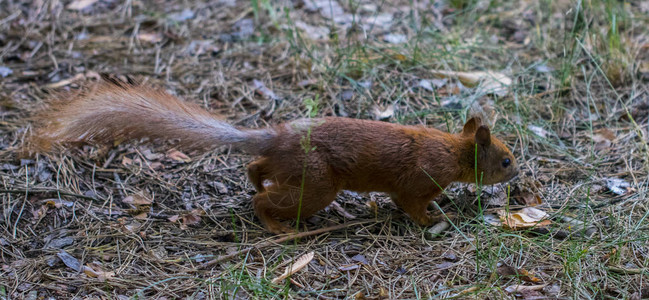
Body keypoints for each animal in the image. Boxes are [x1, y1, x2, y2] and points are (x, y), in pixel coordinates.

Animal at [33, 75, 520, 234]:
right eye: (506, 159)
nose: (518, 176)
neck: (452, 151)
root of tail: (275, 138)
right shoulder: (417, 180)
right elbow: (412, 205)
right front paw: (438, 217)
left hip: (295, 171)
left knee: (256, 167)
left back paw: (255, 177)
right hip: (318, 185)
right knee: (265, 200)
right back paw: (274, 225)